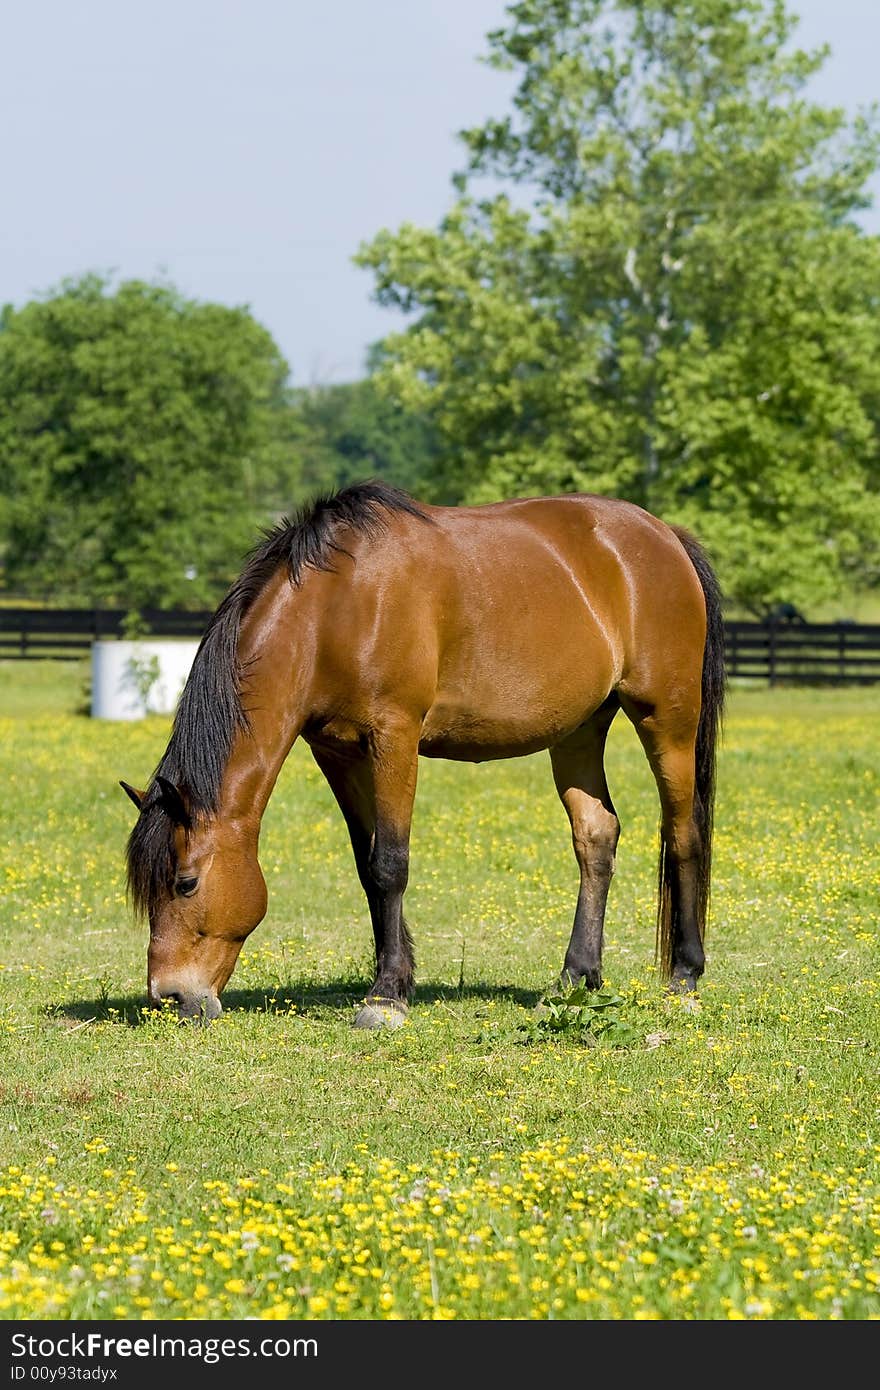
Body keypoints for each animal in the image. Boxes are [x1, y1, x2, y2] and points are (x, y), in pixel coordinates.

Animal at [120, 483, 722, 1028]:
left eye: (186, 883)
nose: (169, 999)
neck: (336, 608)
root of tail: (666, 536)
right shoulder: (336, 753)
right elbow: (366, 867)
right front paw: (398, 976)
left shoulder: (394, 738)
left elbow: (390, 863)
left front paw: (386, 997)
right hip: (579, 729)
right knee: (596, 837)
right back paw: (576, 978)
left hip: (666, 718)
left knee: (683, 832)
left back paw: (684, 979)